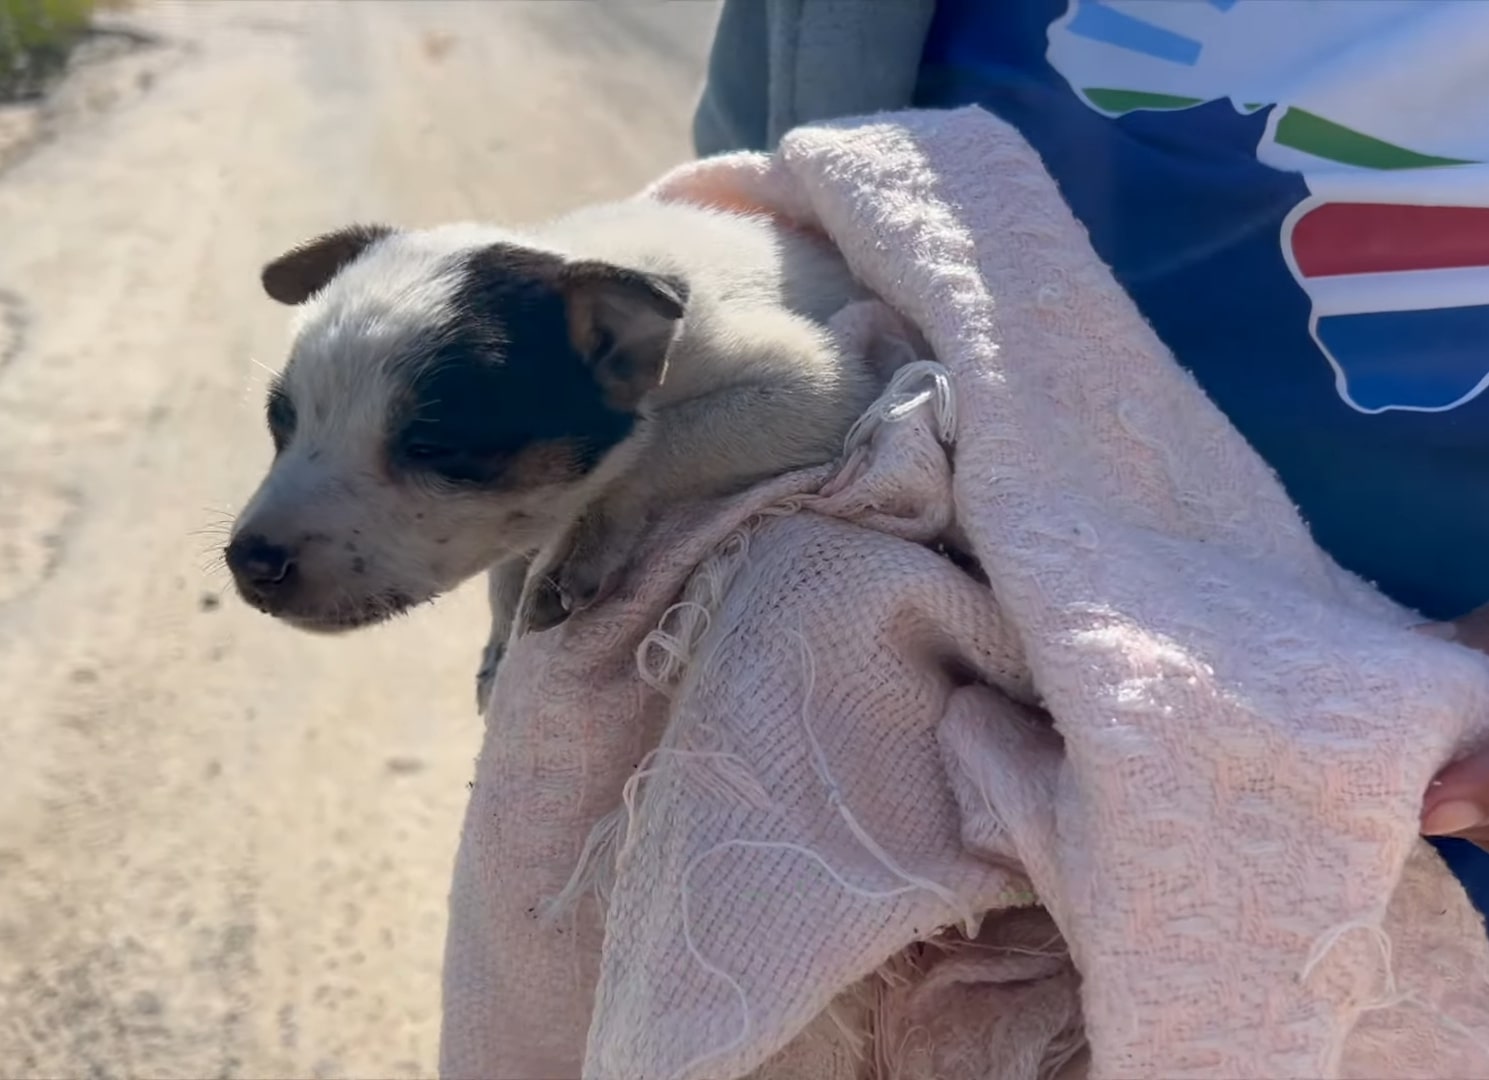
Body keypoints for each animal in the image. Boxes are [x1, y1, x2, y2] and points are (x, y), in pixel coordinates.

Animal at [226, 199, 881, 709]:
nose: (249, 563)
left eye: (432, 446)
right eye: (278, 421)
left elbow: (654, 446)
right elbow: (508, 562)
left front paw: (579, 549)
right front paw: (502, 633)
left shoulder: (823, 389)